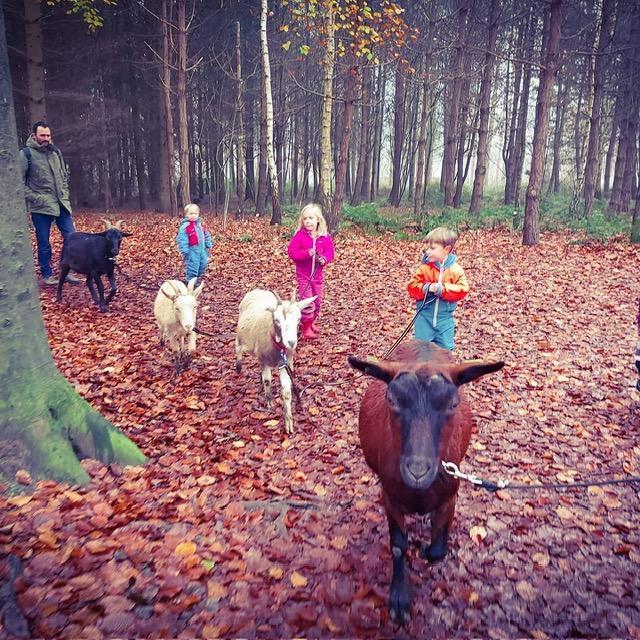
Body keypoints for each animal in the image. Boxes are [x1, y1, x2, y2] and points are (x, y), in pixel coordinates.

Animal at [235, 289, 316, 434]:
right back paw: (238, 367)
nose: (291, 342)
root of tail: (257, 290)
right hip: (240, 335)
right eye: (277, 320)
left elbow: (286, 392)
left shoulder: (284, 364)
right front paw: (269, 401)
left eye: (299, 318)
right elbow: (267, 380)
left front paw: (288, 422)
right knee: (237, 347)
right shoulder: (263, 359)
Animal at [348, 340, 504, 623]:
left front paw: (424, 550)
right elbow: (398, 546)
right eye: (391, 400)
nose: (417, 472)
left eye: (453, 403)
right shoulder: (390, 498)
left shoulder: (450, 496)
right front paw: (399, 599)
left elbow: (437, 551)